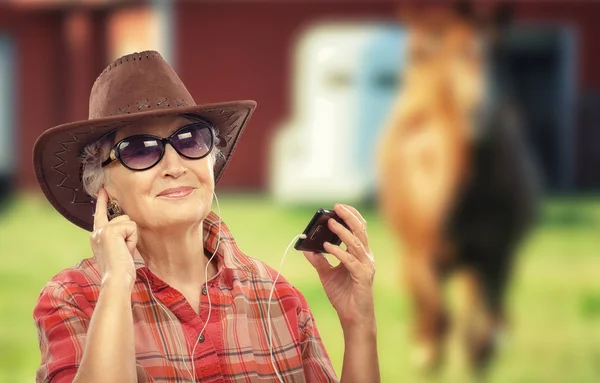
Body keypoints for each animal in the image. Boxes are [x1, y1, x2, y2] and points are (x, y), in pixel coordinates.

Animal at [378, 2, 536, 376]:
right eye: (460, 52)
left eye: (502, 54)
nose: (479, 112)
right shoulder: (423, 258)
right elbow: (438, 319)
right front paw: (425, 354)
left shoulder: (496, 258)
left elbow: (484, 330)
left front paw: (483, 351)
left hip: (472, 264)